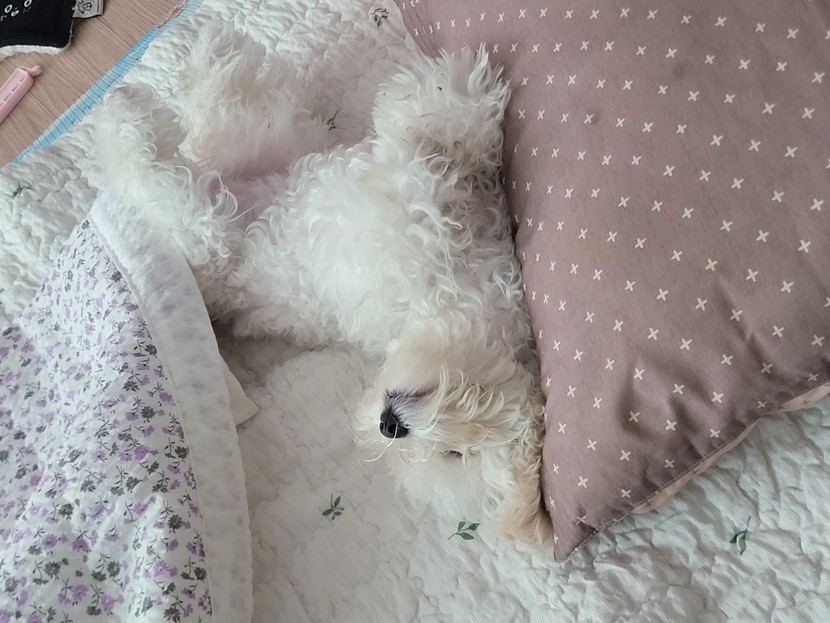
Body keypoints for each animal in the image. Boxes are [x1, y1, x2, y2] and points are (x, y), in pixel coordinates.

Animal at [87, 24, 552, 547]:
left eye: (448, 456)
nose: (390, 425)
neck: (441, 303)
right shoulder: (422, 214)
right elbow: (442, 138)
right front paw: (452, 95)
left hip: (207, 234)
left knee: (172, 173)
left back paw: (138, 106)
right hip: (268, 152)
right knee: (210, 126)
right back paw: (193, 63)